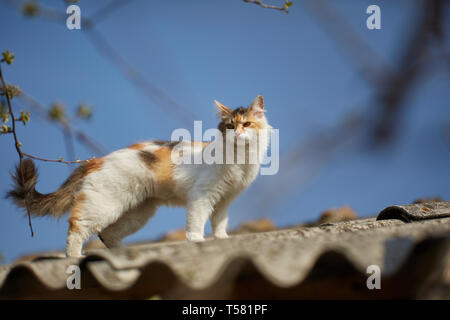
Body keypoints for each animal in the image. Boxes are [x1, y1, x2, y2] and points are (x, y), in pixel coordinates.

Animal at [7, 95, 270, 258]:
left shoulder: (225, 200)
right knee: (77, 227)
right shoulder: (202, 196)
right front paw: (197, 240)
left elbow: (219, 222)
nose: (237, 133)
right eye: (230, 126)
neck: (240, 161)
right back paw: (74, 257)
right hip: (104, 206)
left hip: (138, 212)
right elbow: (197, 221)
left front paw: (222, 238)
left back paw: (124, 254)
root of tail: (97, 159)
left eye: (246, 124)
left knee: (107, 234)